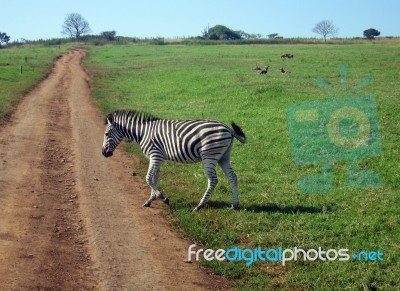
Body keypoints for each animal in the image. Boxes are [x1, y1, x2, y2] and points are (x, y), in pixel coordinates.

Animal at [101, 109, 245, 212]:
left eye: (106, 134)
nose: (103, 153)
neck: (142, 133)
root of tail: (228, 129)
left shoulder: (155, 155)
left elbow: (148, 178)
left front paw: (164, 198)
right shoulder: (157, 158)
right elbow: (154, 179)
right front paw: (151, 200)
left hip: (209, 156)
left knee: (213, 180)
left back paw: (199, 206)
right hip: (223, 157)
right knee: (232, 177)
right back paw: (235, 204)